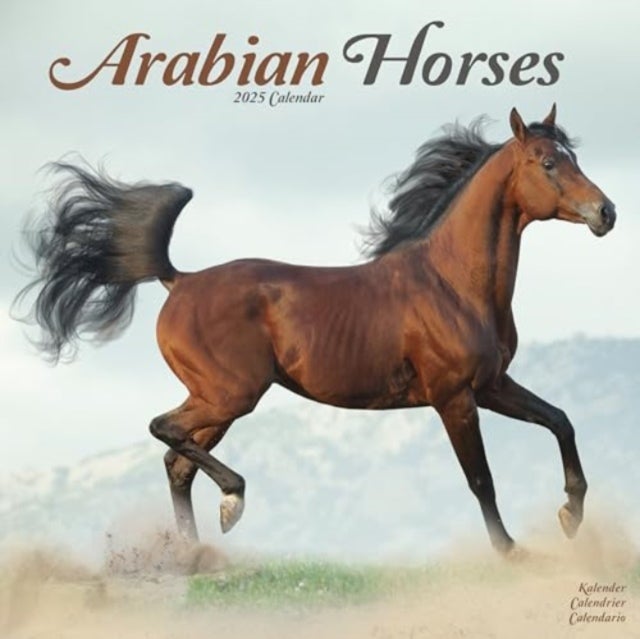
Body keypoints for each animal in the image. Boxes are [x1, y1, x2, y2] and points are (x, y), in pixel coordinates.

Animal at [15, 105, 616, 554]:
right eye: (548, 163)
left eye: (574, 157)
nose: (606, 212)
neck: (451, 283)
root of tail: (178, 280)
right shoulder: (454, 397)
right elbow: (480, 478)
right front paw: (510, 550)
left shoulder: (492, 386)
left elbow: (561, 422)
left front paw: (570, 514)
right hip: (229, 395)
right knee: (165, 431)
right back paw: (231, 503)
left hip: (220, 402)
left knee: (176, 460)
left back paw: (197, 554)